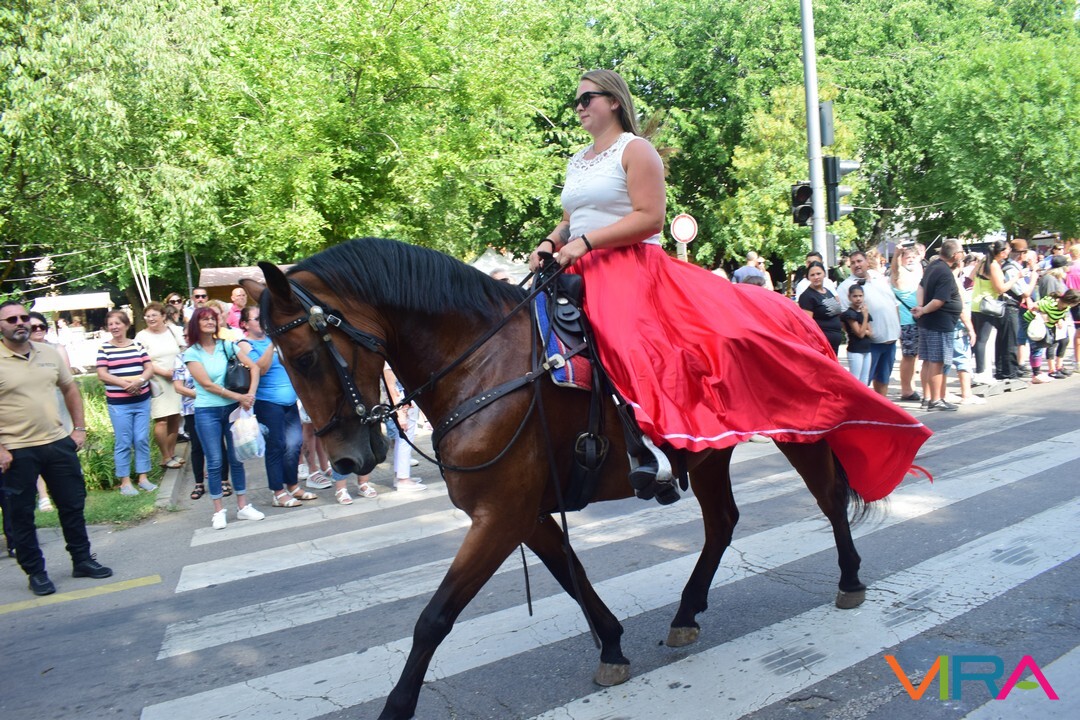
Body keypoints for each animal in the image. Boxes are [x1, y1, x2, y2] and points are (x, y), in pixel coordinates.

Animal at [243, 237, 873, 720]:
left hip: (800, 433)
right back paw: (686, 613)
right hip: (708, 455)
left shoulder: (501, 515)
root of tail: (795, 309)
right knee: (722, 523)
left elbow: (434, 617)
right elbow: (571, 577)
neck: (481, 365)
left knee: (829, 499)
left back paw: (849, 579)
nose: (347, 461)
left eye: (304, 357)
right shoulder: (520, 512)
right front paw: (612, 645)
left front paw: (398, 705)